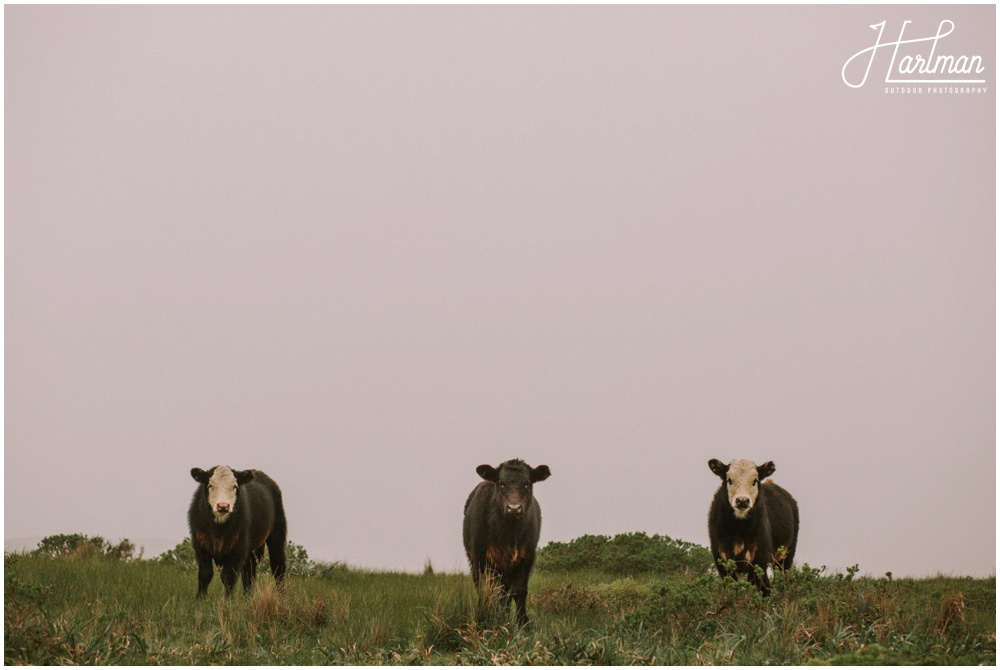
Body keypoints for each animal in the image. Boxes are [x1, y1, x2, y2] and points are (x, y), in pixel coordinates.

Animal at [188, 464, 290, 600]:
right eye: (210, 485)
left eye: (235, 486)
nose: (223, 506)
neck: (219, 530)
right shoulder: (200, 544)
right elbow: (205, 573)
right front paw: (200, 599)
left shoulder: (238, 547)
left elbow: (228, 576)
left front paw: (228, 601)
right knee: (250, 569)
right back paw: (247, 598)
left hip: (277, 534)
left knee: (278, 567)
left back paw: (281, 598)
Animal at [464, 460, 552, 628]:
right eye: (502, 484)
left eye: (527, 483)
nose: (514, 508)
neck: (508, 536)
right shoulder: (480, 558)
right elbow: (486, 590)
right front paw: (484, 618)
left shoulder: (526, 557)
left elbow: (519, 591)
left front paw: (523, 624)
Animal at [708, 460, 800, 596]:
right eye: (729, 479)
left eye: (754, 480)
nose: (742, 500)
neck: (739, 530)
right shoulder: (720, 554)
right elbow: (731, 585)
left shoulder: (760, 555)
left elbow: (754, 585)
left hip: (786, 555)